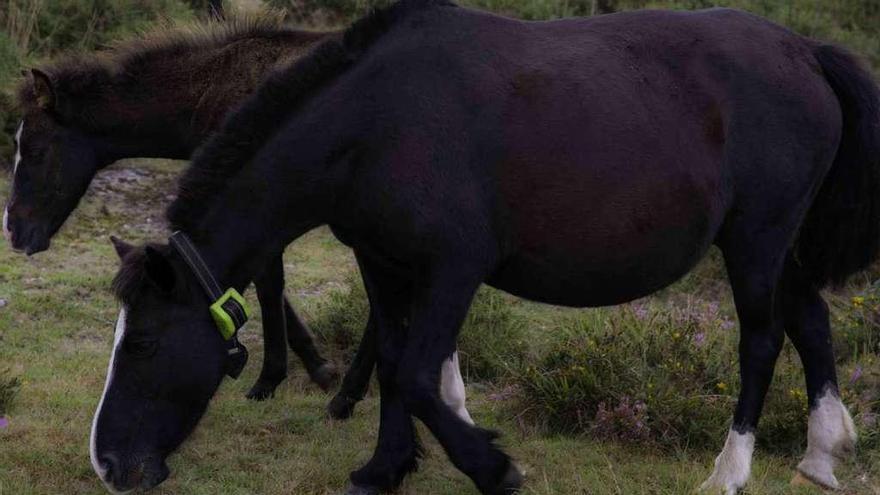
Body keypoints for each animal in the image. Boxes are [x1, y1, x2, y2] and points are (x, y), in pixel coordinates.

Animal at [3, 17, 470, 418]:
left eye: (37, 150)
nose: (15, 231)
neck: (213, 91)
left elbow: (265, 289)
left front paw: (273, 379)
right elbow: (267, 289)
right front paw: (316, 367)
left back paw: (346, 397)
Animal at [91, 1, 880, 494]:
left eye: (145, 343)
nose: (108, 462)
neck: (375, 124)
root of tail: (804, 51)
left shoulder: (453, 269)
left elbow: (415, 373)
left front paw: (490, 466)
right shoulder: (385, 265)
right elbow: (392, 363)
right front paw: (386, 466)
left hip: (756, 239)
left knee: (763, 340)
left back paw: (729, 471)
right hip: (778, 245)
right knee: (811, 322)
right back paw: (820, 456)